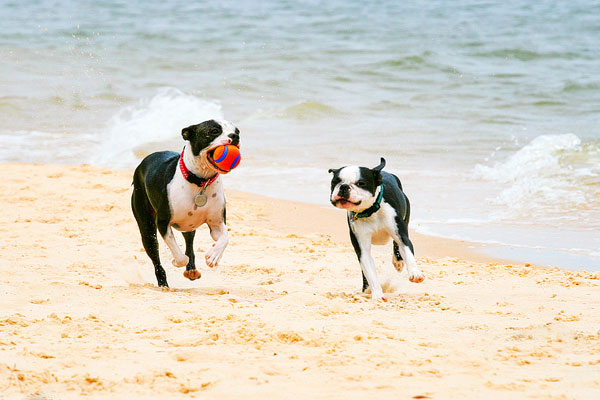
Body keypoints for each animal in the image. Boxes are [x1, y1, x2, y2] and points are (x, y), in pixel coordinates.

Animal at [132, 119, 240, 288]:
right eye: (214, 131)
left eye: (237, 131)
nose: (235, 136)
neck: (201, 181)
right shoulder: (162, 223)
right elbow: (179, 255)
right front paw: (176, 262)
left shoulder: (216, 224)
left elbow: (224, 238)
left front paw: (214, 256)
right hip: (147, 228)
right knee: (156, 257)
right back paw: (163, 283)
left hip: (189, 226)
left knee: (189, 244)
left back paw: (191, 270)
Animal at [330, 158, 424, 302]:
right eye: (335, 181)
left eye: (361, 183)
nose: (343, 187)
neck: (370, 211)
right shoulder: (362, 249)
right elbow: (369, 272)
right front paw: (377, 294)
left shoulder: (401, 235)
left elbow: (407, 252)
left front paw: (415, 273)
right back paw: (366, 289)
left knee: (396, 245)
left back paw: (398, 261)